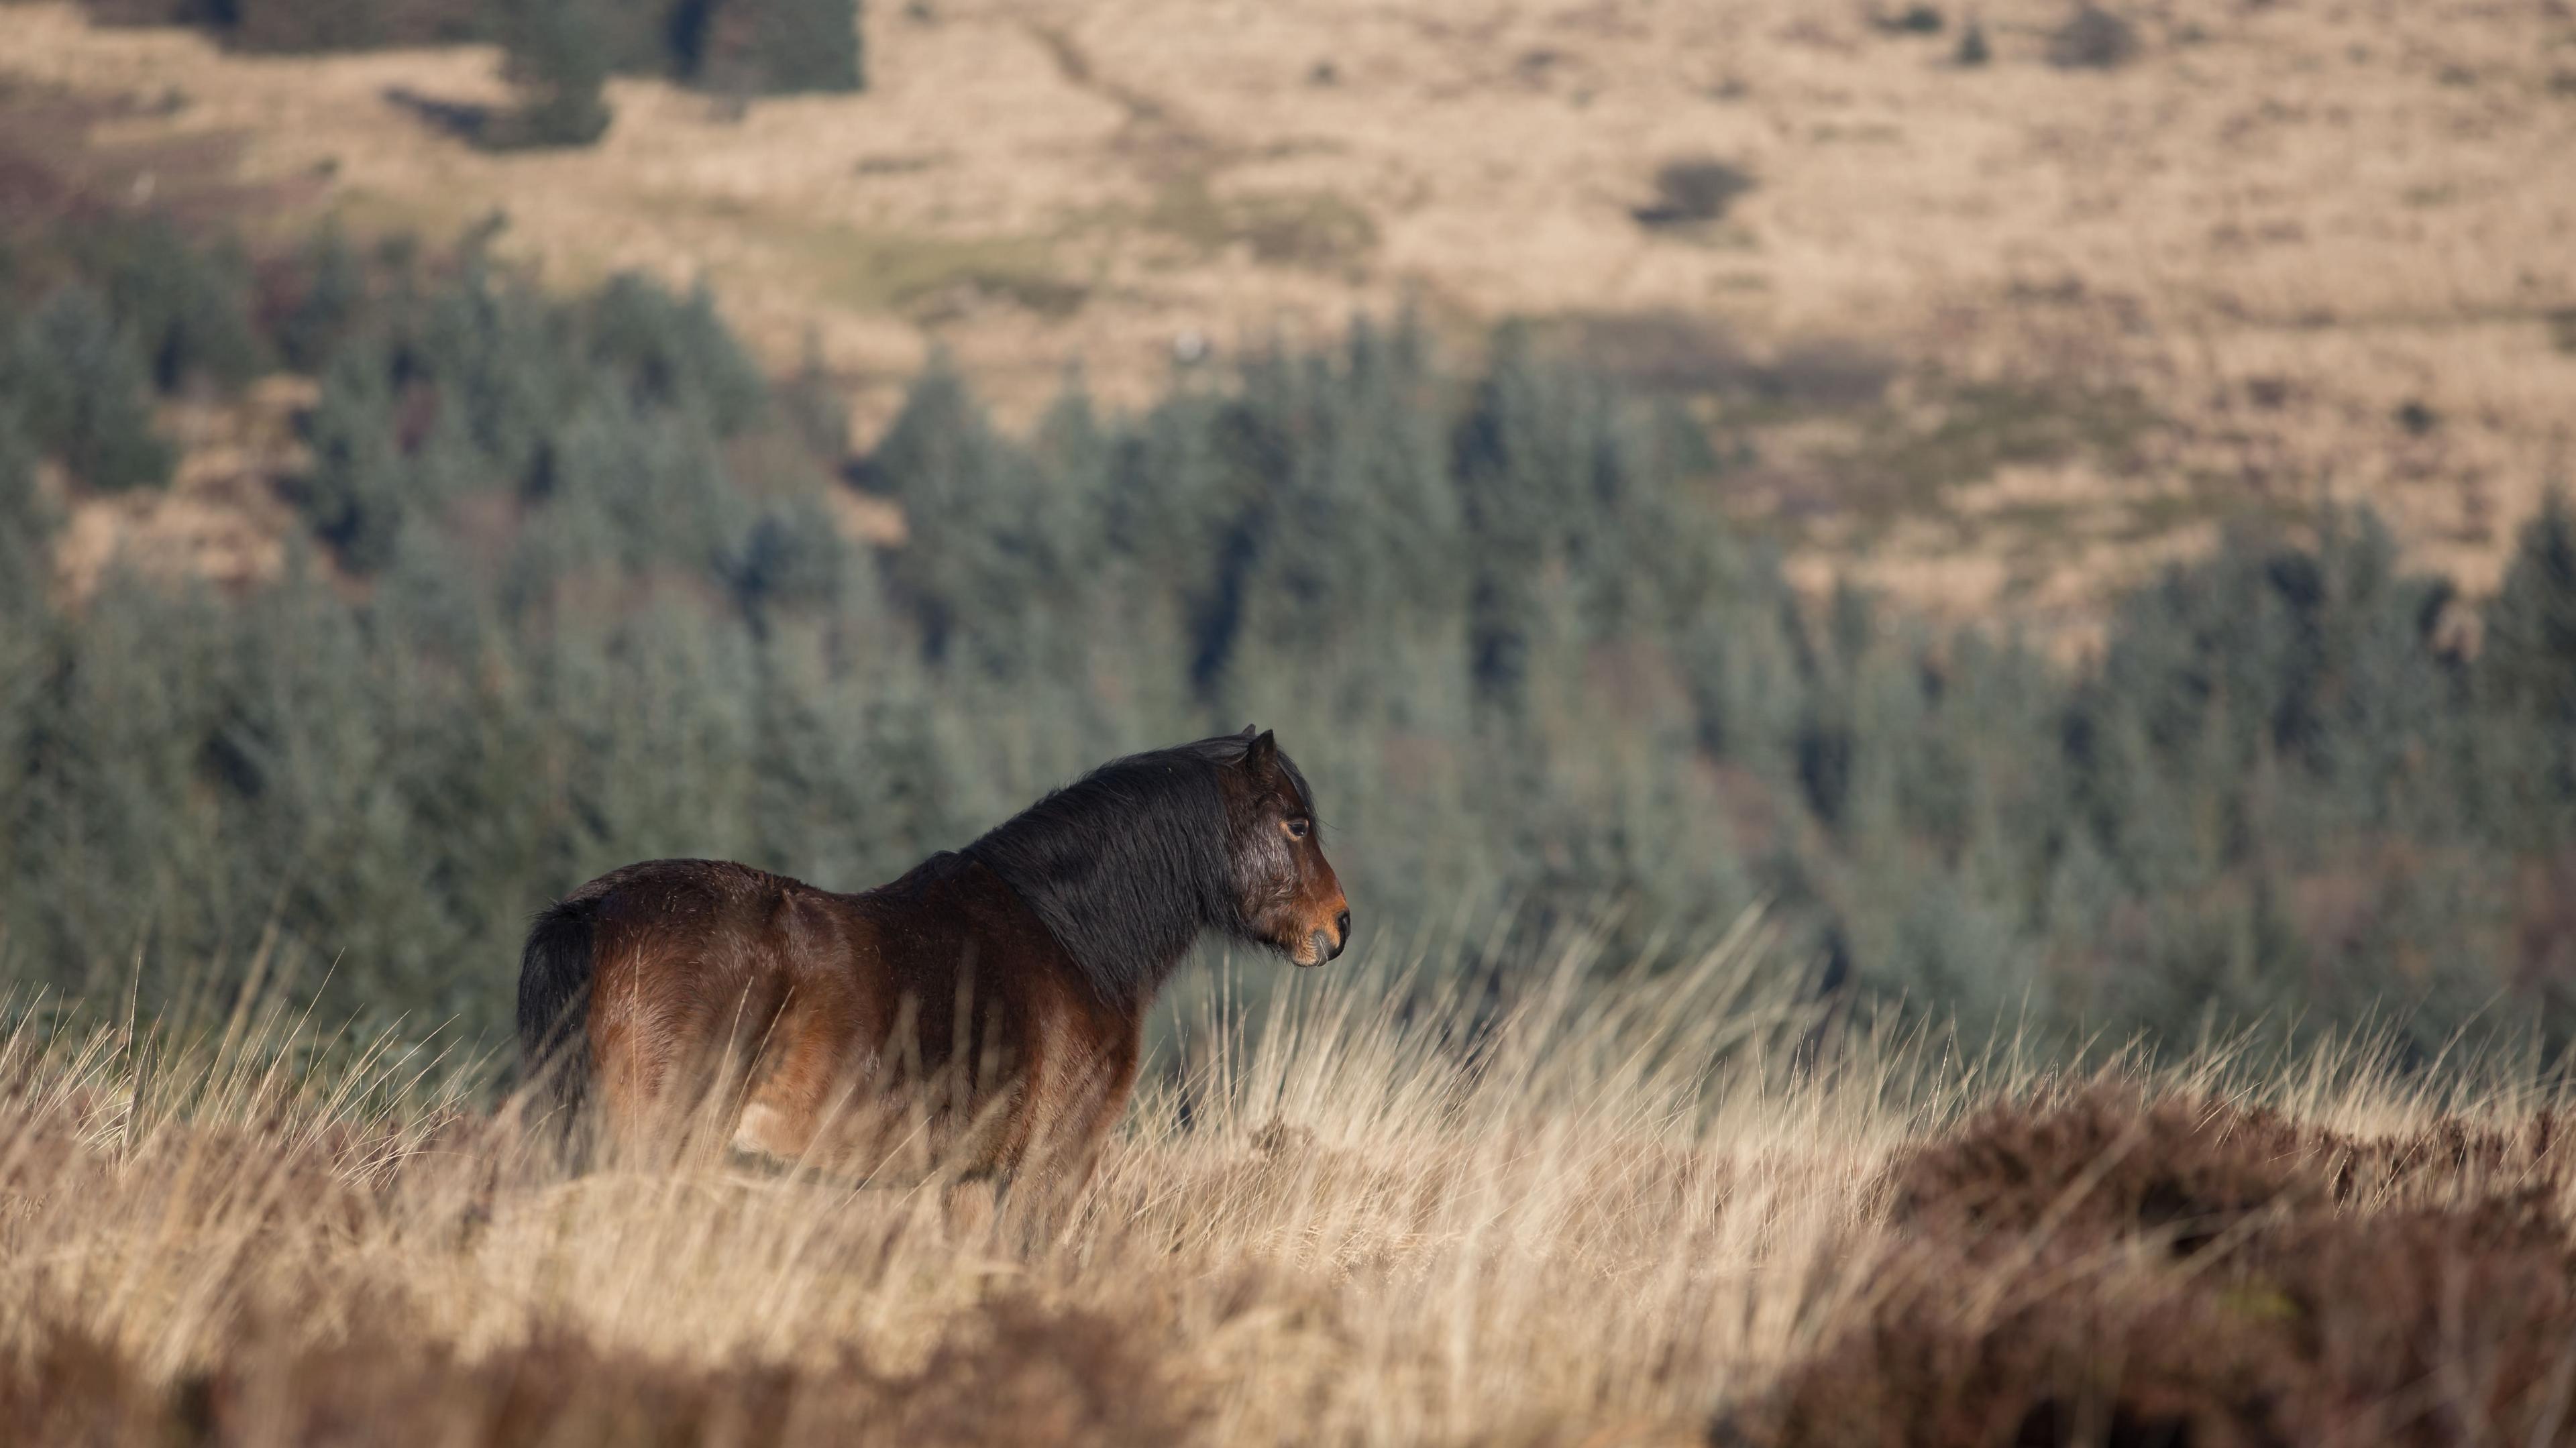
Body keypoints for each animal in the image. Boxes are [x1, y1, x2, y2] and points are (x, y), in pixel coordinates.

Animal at [504, 726, 1350, 1190]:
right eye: (1297, 823)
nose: (1338, 925)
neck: (1068, 935)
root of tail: (591, 913)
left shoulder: (968, 1181)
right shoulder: (1047, 1171)